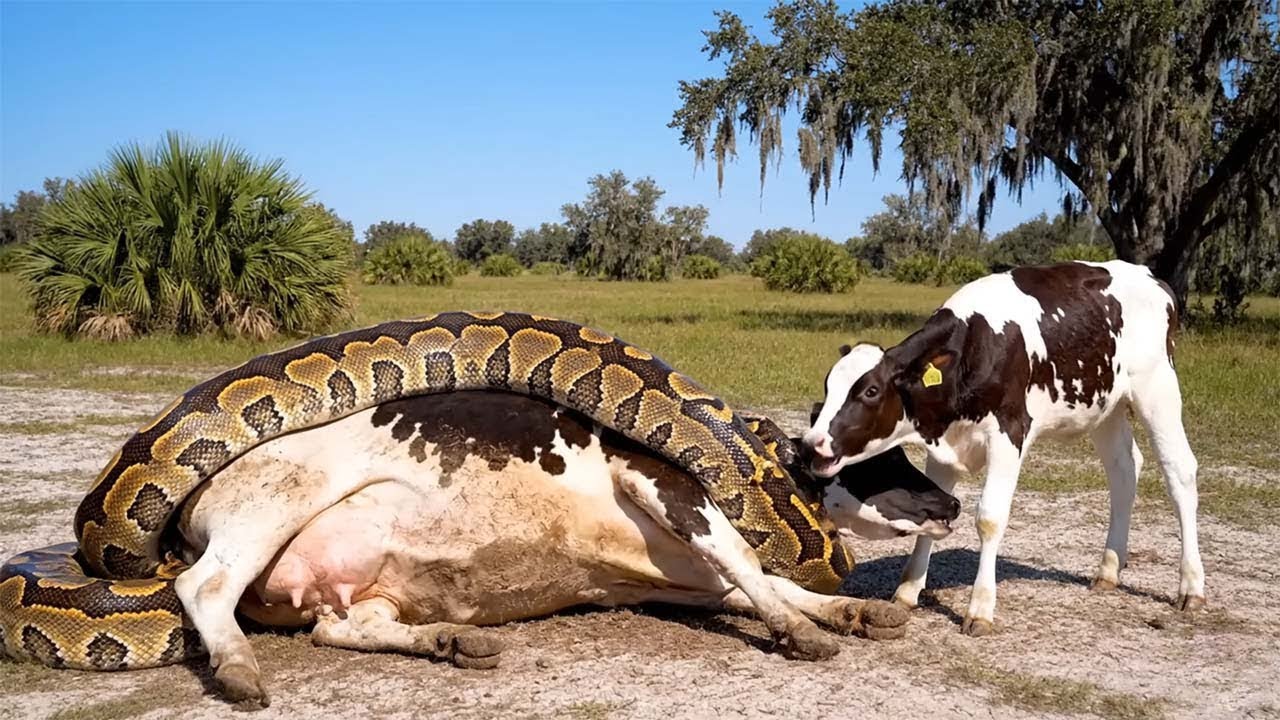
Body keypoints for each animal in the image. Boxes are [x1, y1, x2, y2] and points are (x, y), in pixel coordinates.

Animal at [158, 391, 959, 704]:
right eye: (887, 459)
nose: (951, 503)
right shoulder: (661, 480)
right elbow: (745, 563)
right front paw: (802, 631)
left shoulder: (676, 576)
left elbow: (756, 577)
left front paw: (853, 612)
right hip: (274, 502)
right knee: (205, 587)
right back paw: (239, 670)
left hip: (359, 586)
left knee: (340, 626)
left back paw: (452, 640)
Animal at [803, 260, 1204, 636]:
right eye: (828, 385)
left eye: (870, 391)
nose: (811, 445)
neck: (974, 348)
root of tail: (1150, 276)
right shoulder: (942, 442)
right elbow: (933, 512)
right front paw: (908, 591)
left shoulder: (1010, 432)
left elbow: (989, 518)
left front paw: (980, 609)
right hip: (1107, 406)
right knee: (1124, 470)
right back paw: (1108, 569)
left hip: (1158, 388)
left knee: (1179, 470)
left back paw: (1191, 586)